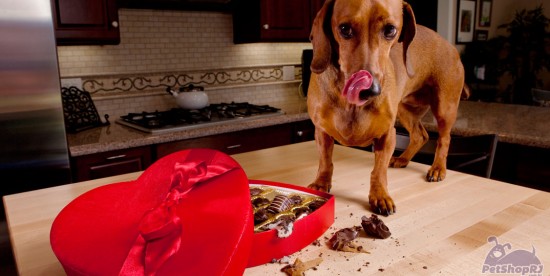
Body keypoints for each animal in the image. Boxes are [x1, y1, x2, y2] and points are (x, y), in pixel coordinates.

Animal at [308, 0, 468, 216]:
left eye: (390, 30)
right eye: (344, 29)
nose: (370, 90)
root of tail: (451, 46)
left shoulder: (387, 136)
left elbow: (379, 170)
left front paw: (380, 195)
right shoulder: (322, 131)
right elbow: (325, 160)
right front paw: (321, 183)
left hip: (445, 108)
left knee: (444, 139)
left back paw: (437, 168)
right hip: (404, 109)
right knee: (420, 135)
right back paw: (403, 159)